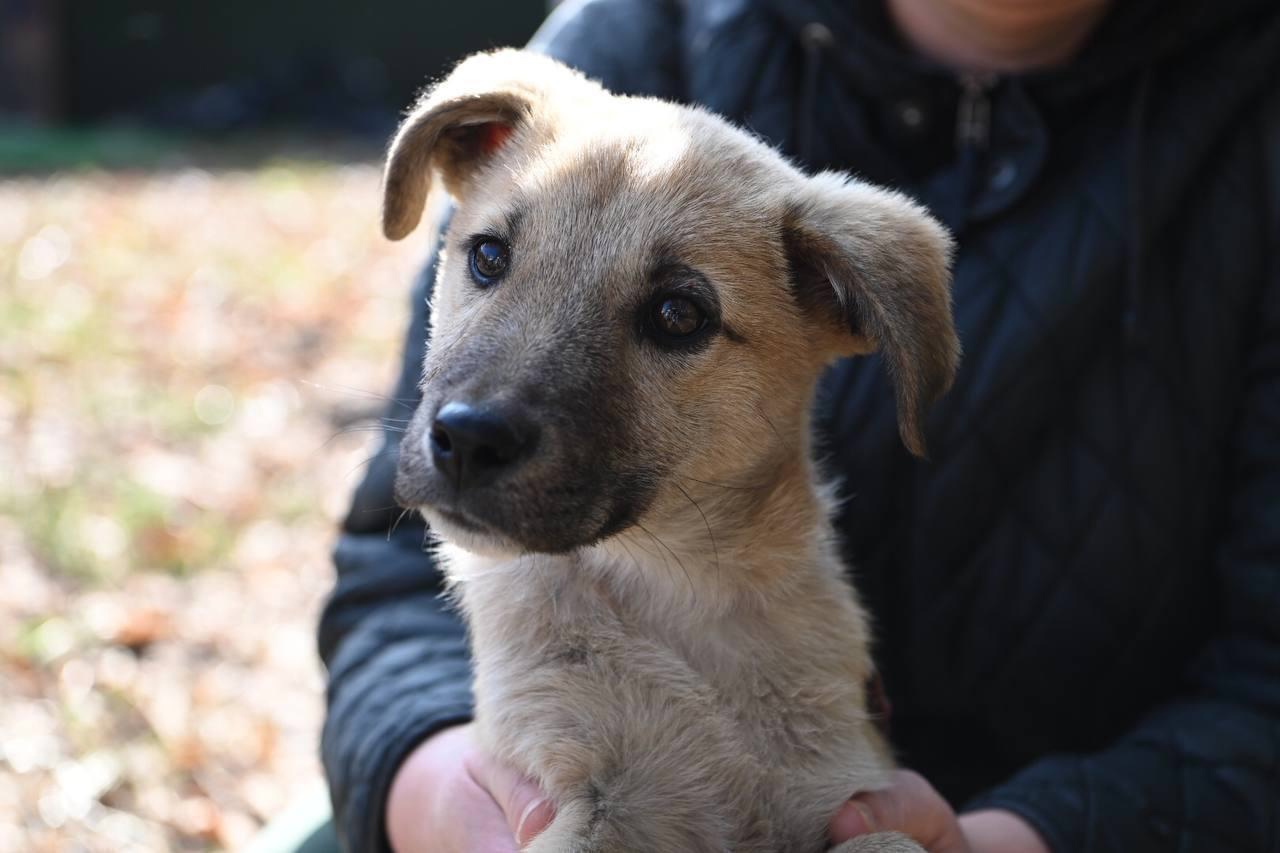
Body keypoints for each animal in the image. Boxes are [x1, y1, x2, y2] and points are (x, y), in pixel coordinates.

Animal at [384, 51, 957, 850]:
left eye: (679, 316)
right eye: (490, 256)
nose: (467, 439)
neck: (678, 599)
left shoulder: (847, 791)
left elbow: (888, 837)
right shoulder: (576, 791)